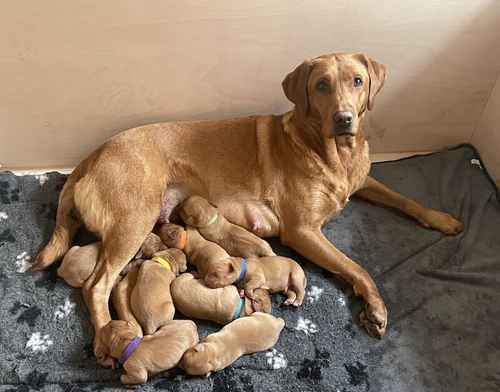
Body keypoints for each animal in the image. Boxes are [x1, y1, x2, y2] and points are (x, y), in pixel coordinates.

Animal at [31, 51, 462, 364]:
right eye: (321, 85)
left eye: (358, 81)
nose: (344, 119)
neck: (334, 153)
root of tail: (92, 155)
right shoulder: (302, 231)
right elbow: (357, 267)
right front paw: (375, 307)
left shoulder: (363, 181)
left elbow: (404, 198)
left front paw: (441, 218)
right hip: (134, 219)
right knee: (97, 285)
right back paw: (108, 341)